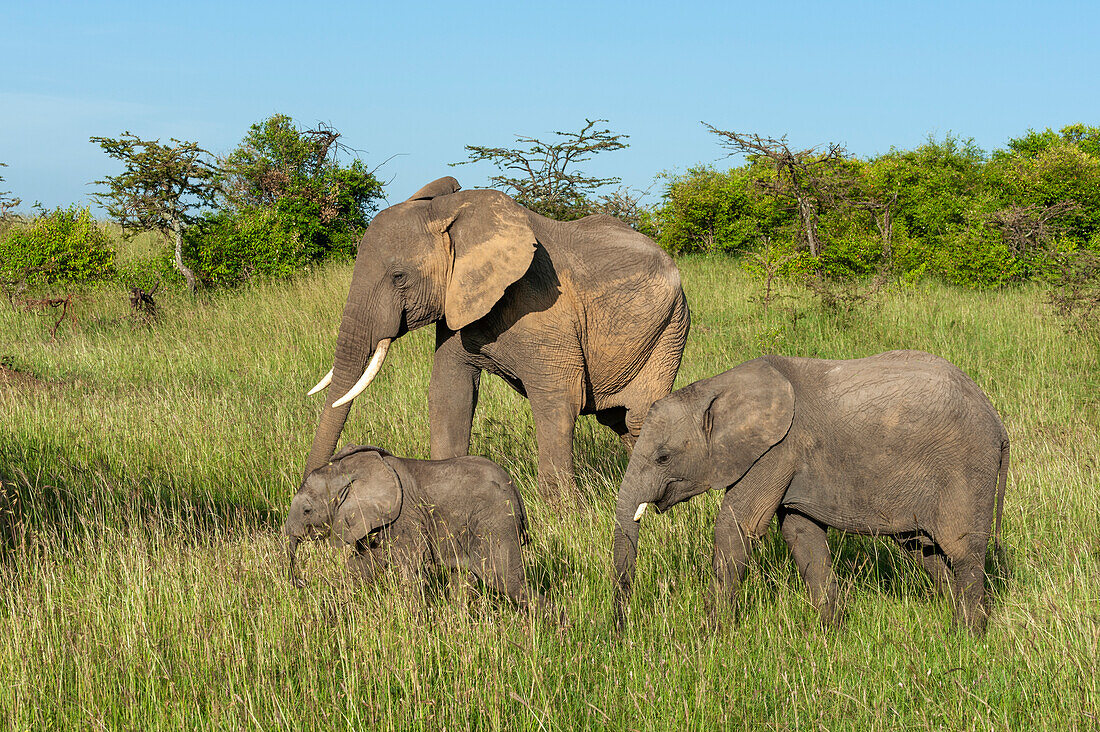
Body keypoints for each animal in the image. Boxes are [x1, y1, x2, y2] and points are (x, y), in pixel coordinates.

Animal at [281, 444, 543, 612]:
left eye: (307, 510)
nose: (301, 582)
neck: (350, 470)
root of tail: (515, 490)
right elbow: (363, 564)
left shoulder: (406, 517)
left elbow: (411, 570)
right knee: (464, 579)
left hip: (496, 521)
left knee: (506, 579)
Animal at [303, 177, 686, 497]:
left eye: (399, 277)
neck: (450, 211)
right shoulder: (457, 306)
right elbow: (450, 394)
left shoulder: (544, 306)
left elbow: (557, 400)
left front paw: (559, 515)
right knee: (620, 422)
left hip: (670, 329)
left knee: (639, 417)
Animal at [616, 350, 1007, 634]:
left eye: (663, 457)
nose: (621, 634)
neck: (716, 389)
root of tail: (997, 422)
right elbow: (800, 534)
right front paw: (829, 633)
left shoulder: (778, 449)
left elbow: (738, 525)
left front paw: (710, 635)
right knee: (924, 551)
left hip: (966, 468)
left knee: (963, 552)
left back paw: (966, 636)